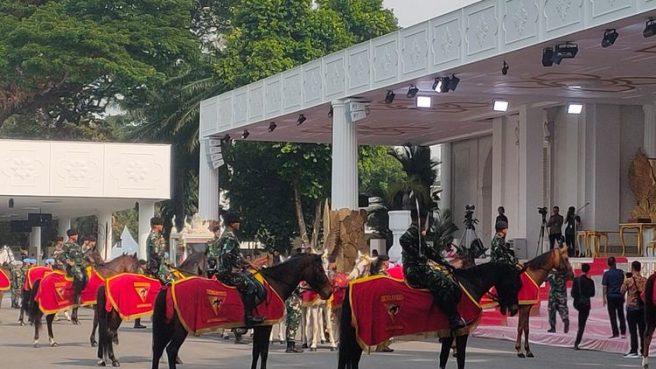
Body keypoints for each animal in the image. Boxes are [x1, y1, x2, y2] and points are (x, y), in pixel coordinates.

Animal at [151, 253, 330, 368]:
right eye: (320, 270)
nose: (329, 291)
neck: (273, 283)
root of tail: (169, 286)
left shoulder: (260, 327)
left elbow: (256, 352)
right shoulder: (265, 326)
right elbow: (263, 352)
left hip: (167, 326)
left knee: (158, 350)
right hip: (180, 327)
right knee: (171, 350)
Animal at [338, 260, 524, 368]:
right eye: (515, 283)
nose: (514, 309)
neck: (468, 285)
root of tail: (351, 285)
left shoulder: (448, 332)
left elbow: (443, 359)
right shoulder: (462, 331)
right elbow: (461, 360)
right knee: (353, 359)